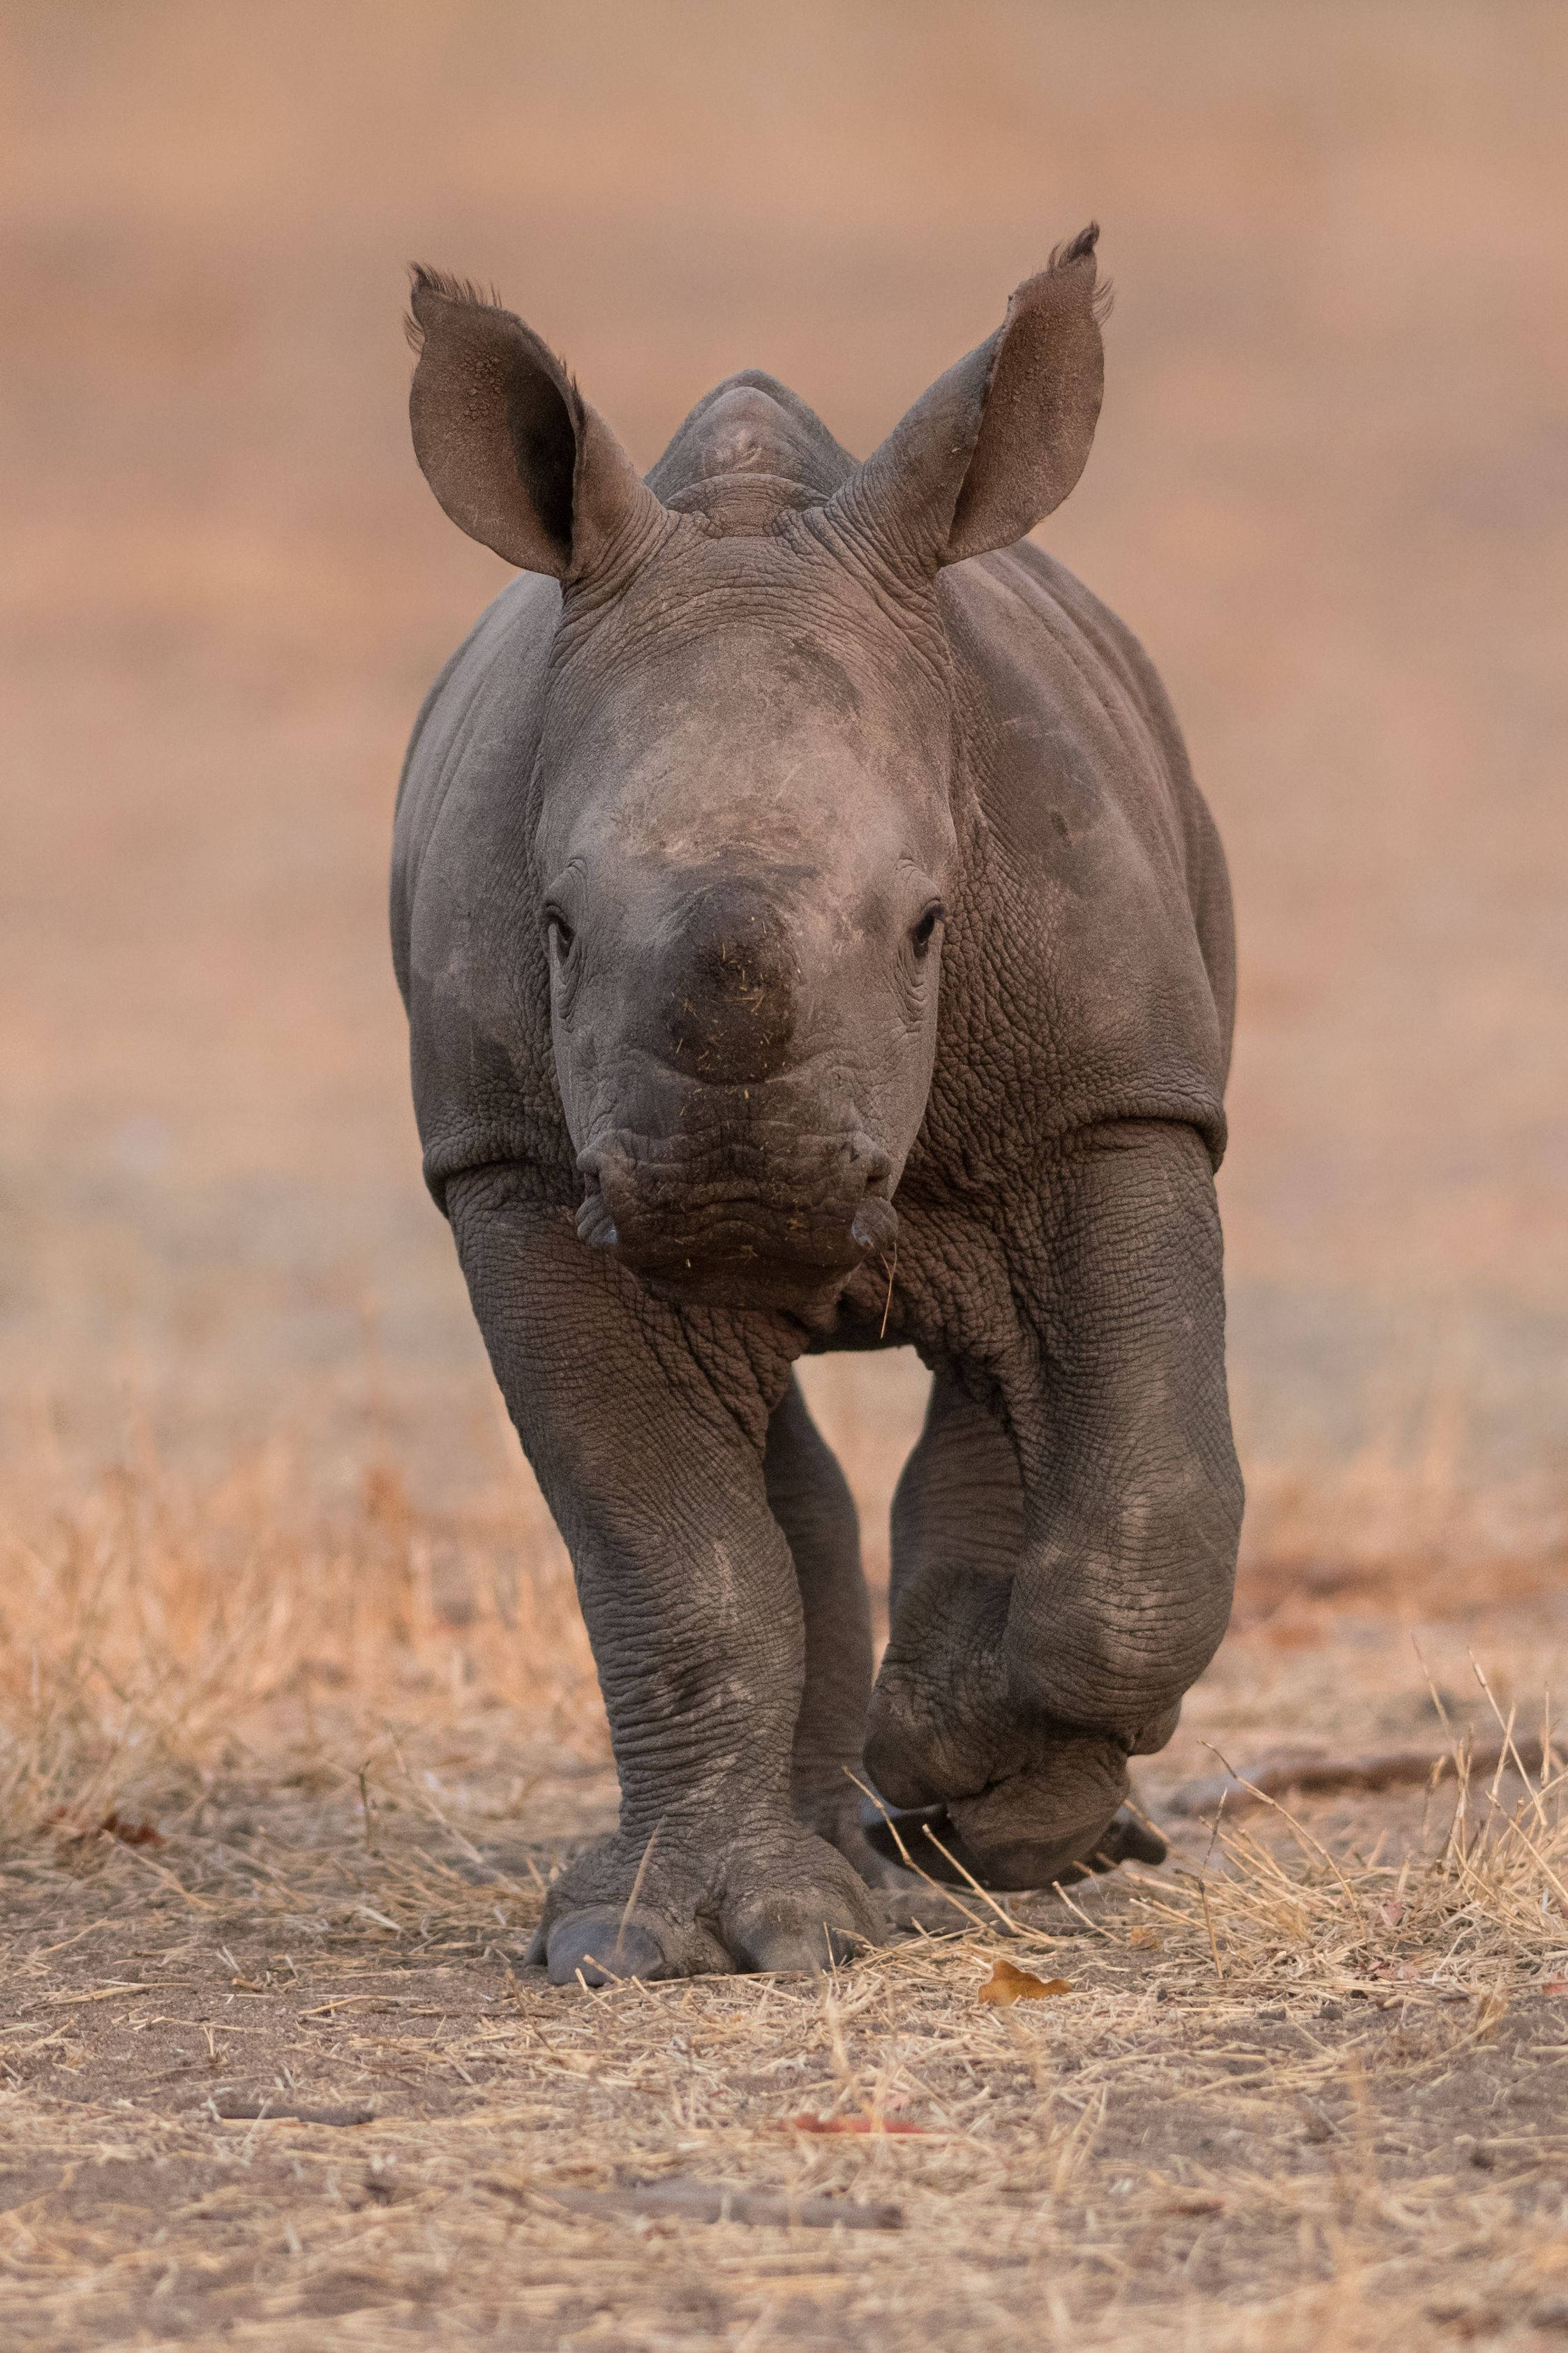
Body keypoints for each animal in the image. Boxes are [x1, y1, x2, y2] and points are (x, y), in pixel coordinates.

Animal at [392, 227, 1243, 1984]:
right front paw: (668, 1940)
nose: (742, 1198)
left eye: (927, 924)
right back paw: (832, 1870)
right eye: (555, 926)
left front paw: (978, 1779)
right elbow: (675, 1555)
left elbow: (1149, 1505)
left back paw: (965, 1801)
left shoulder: (1116, 1099)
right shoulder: (512, 1164)